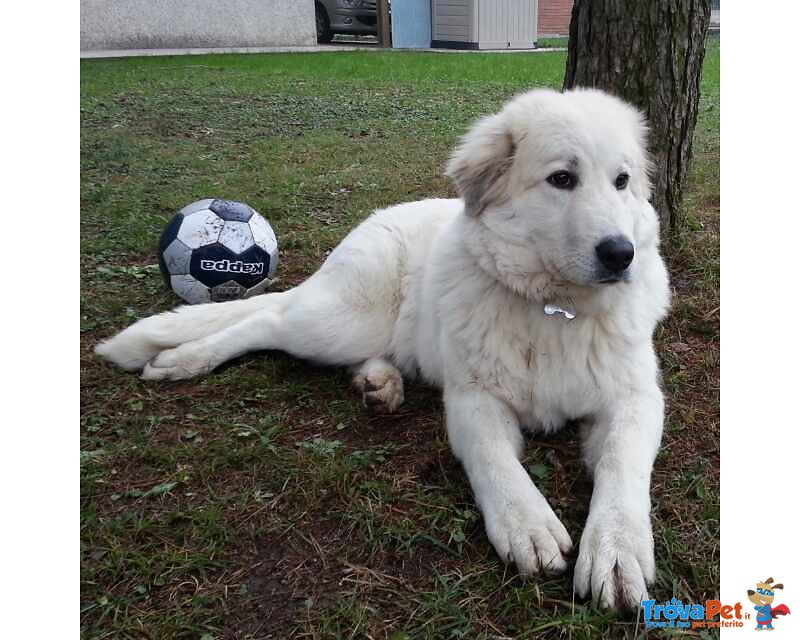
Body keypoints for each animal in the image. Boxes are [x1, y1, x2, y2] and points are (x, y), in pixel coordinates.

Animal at [95, 87, 668, 608]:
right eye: (562, 179)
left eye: (622, 181)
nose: (620, 254)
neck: (556, 311)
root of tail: (375, 218)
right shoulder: (473, 402)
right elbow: (495, 463)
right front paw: (526, 522)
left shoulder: (636, 399)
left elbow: (621, 466)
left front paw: (617, 550)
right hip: (343, 321)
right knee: (266, 318)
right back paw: (183, 359)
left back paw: (380, 383)